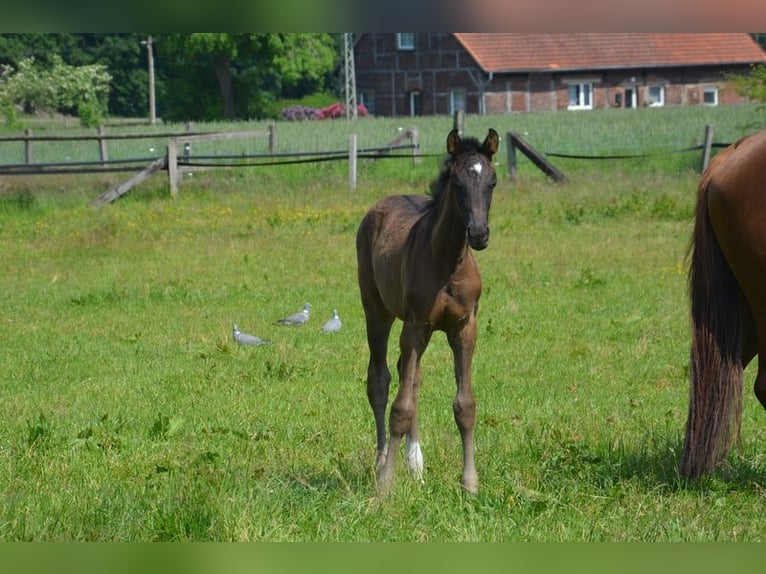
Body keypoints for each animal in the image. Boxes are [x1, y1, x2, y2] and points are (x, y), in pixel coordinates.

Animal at [356, 127, 500, 496]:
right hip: (378, 312)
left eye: (492, 182)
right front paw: (384, 485)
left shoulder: (464, 327)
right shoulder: (416, 326)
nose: (479, 234)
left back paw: (415, 464)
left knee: (412, 376)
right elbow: (400, 407)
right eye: (457, 183)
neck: (446, 261)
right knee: (380, 380)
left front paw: (470, 484)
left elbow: (465, 405)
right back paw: (381, 460)